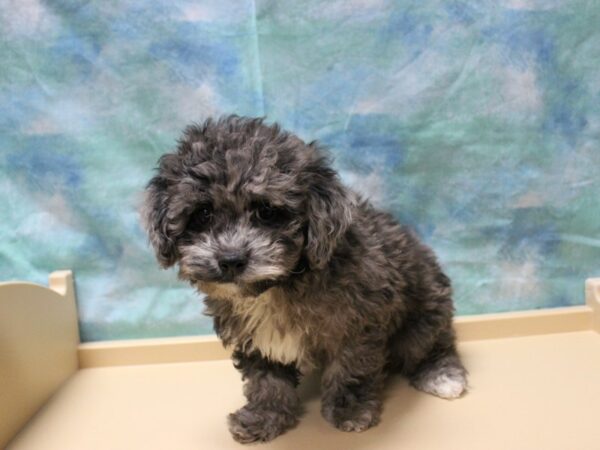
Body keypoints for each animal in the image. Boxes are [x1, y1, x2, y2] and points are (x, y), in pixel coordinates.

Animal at [142, 115, 468, 442]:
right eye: (203, 213)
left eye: (266, 211)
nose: (231, 260)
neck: (280, 285)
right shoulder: (255, 338)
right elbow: (266, 381)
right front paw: (265, 416)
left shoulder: (359, 325)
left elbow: (352, 368)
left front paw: (350, 410)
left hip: (425, 313)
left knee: (434, 344)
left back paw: (442, 375)